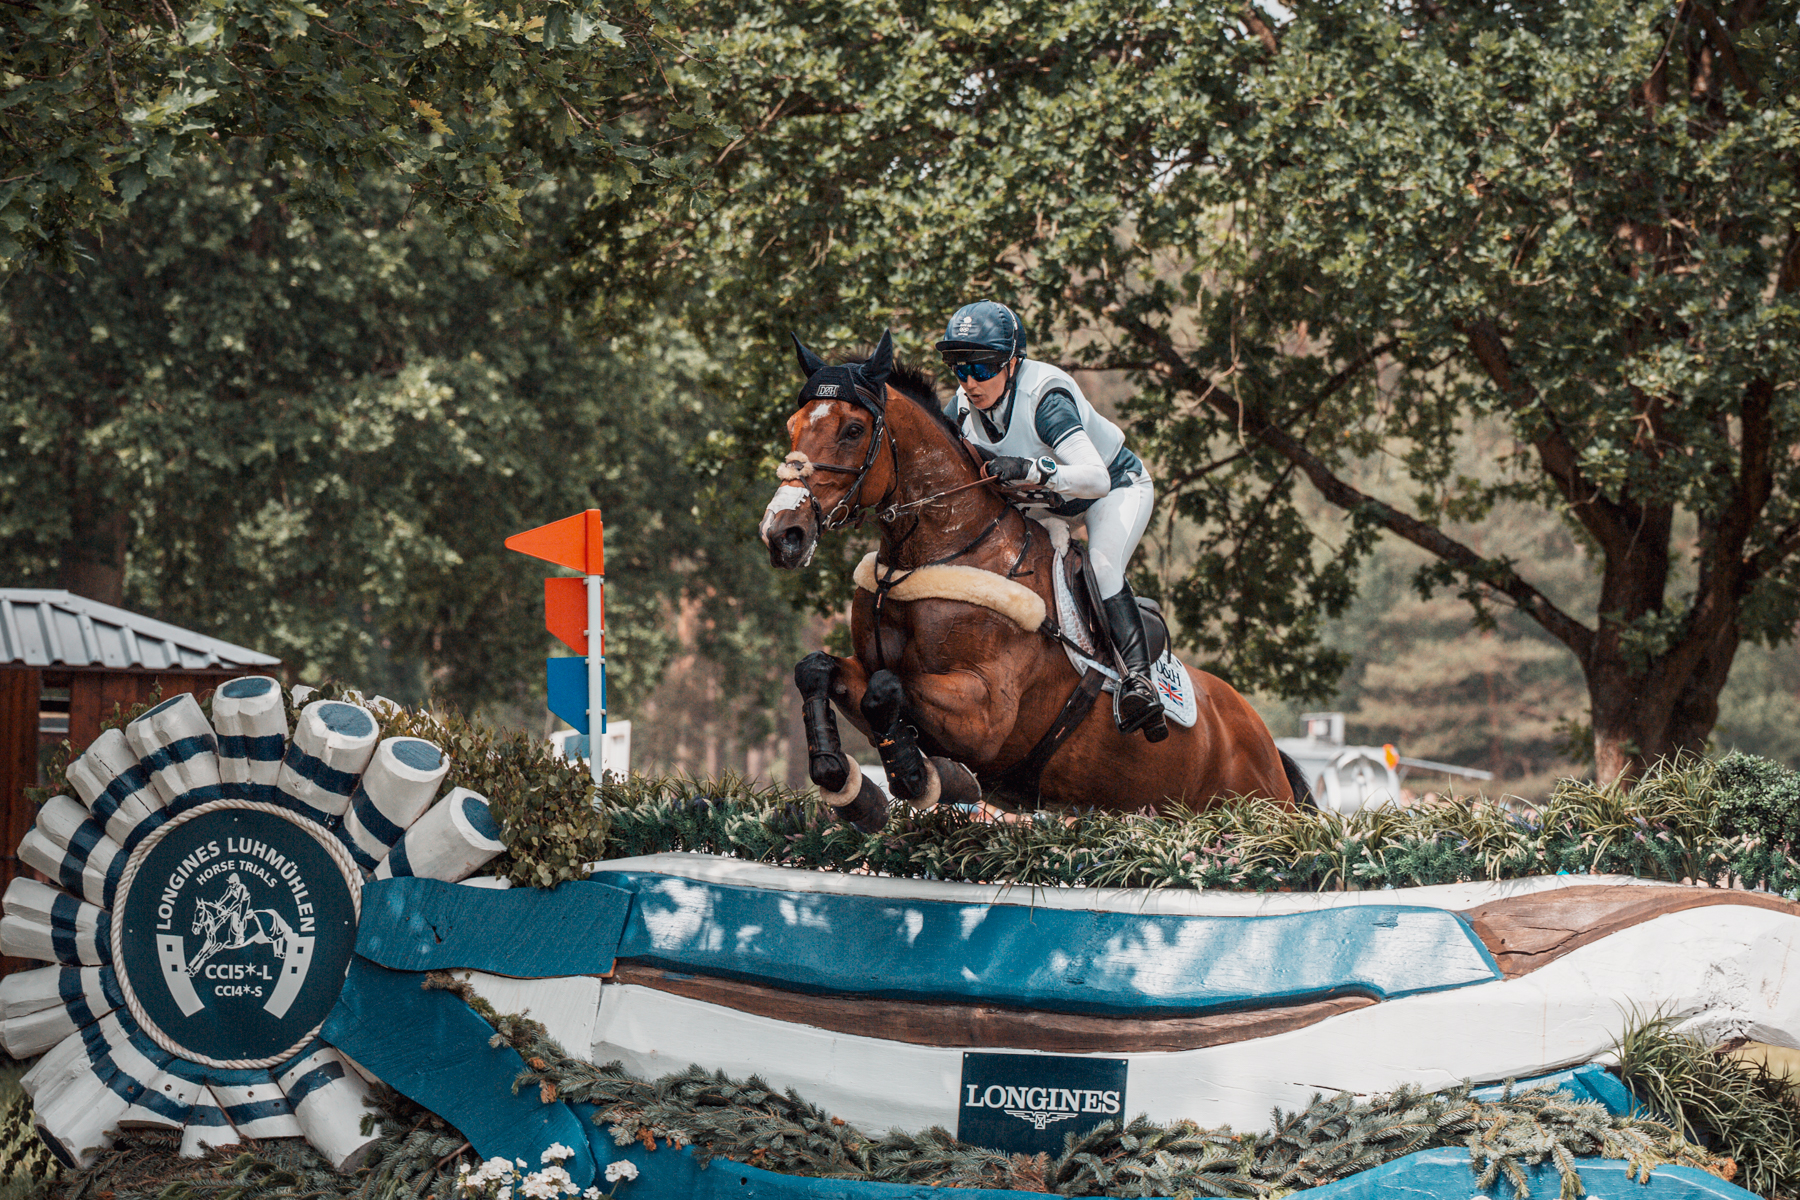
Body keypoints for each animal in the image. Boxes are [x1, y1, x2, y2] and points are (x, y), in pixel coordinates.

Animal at [758, 329, 1304, 830]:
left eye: (852, 429)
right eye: (792, 426)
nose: (782, 533)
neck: (937, 554)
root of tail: (1263, 740)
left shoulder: (986, 716)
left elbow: (887, 688)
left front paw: (922, 776)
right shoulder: (870, 666)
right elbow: (818, 671)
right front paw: (842, 778)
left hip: (1256, 808)